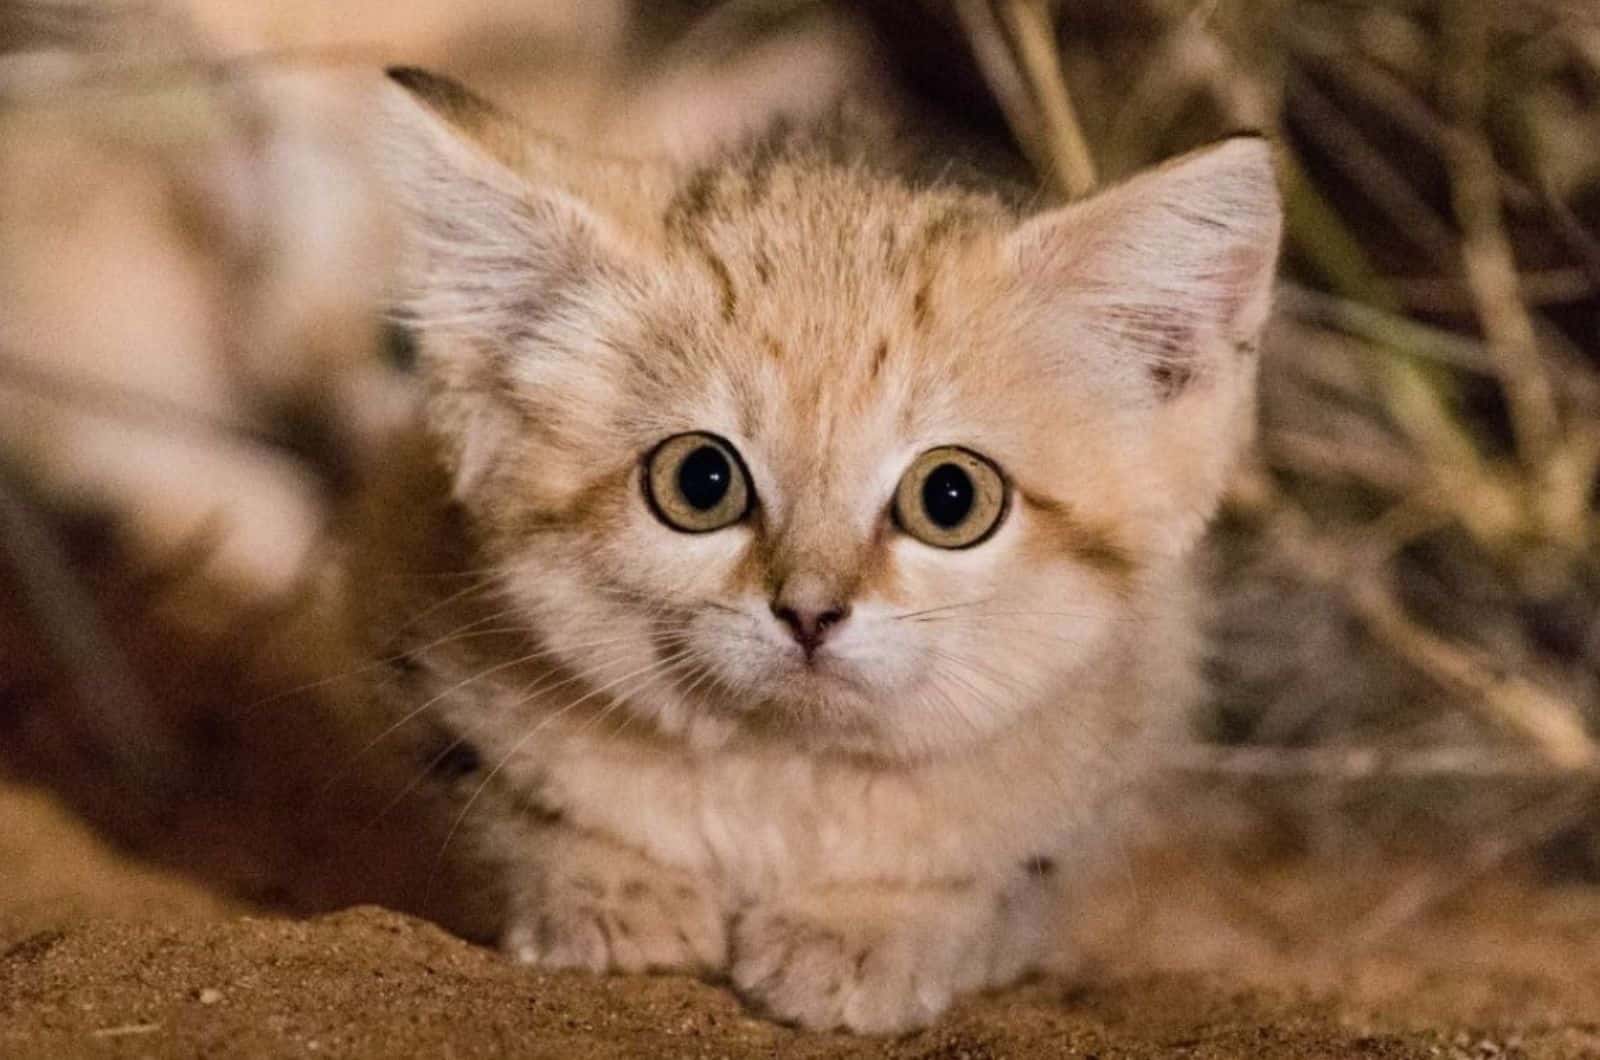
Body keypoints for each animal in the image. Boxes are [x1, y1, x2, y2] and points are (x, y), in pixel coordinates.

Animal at [356, 68, 1280, 1037]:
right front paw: (606, 889)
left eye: (951, 497)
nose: (809, 611)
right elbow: (514, 813)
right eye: (700, 481)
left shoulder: (1119, 745)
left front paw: (864, 927)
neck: (784, 779)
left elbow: (987, 877)